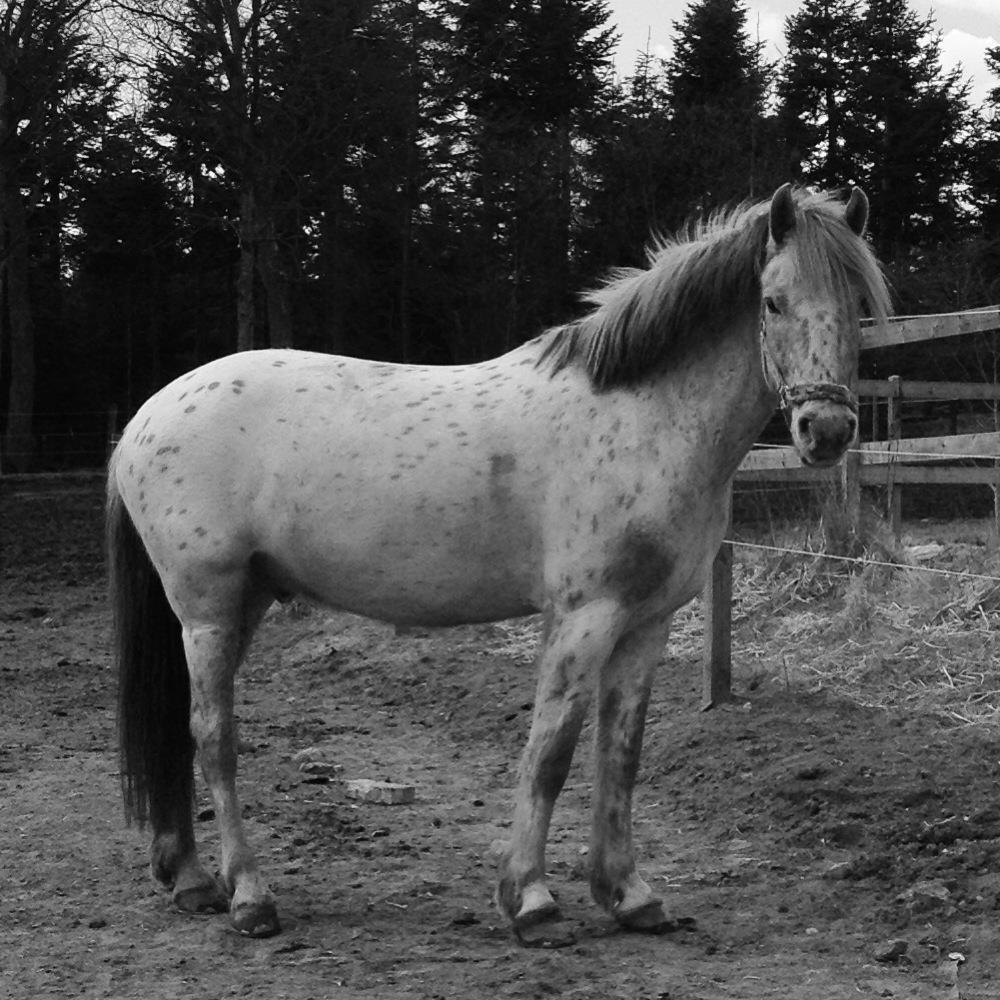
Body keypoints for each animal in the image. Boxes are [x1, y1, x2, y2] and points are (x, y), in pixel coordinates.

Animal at [106, 183, 890, 941]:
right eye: (773, 301)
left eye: (857, 305)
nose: (825, 430)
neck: (644, 416)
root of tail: (145, 417)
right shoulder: (582, 617)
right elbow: (550, 753)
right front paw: (533, 902)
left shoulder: (647, 623)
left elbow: (621, 753)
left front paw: (629, 895)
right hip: (208, 610)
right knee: (215, 739)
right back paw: (249, 897)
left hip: (244, 604)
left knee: (183, 731)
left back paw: (191, 880)